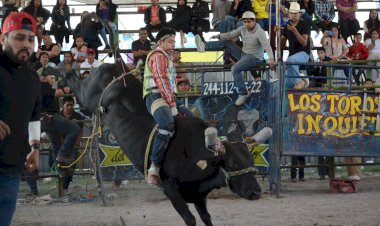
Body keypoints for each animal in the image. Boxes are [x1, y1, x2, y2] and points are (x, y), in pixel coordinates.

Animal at [66, 64, 262, 226]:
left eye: (252, 161)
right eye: (233, 163)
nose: (256, 193)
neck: (194, 154)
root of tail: (115, 68)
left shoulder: (198, 196)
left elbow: (206, 217)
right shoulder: (171, 192)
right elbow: (190, 219)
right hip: (88, 96)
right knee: (76, 85)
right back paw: (63, 71)